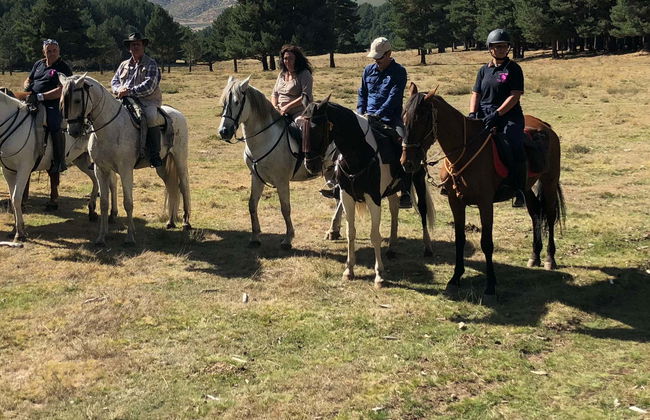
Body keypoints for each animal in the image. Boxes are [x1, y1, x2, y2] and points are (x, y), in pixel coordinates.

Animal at [0, 90, 117, 241]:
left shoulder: (24, 169)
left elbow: (16, 198)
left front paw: (20, 233)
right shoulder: (8, 171)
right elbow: (13, 199)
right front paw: (16, 228)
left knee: (112, 181)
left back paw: (113, 213)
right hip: (82, 159)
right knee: (95, 179)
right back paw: (92, 210)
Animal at [60, 74, 191, 246]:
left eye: (76, 100)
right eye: (62, 101)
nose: (73, 131)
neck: (110, 129)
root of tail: (177, 114)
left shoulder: (125, 170)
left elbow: (128, 203)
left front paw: (130, 237)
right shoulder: (100, 169)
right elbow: (103, 202)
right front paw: (101, 236)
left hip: (180, 159)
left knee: (184, 186)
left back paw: (186, 222)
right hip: (162, 165)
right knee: (171, 186)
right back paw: (170, 222)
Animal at [217, 76, 343, 249]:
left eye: (236, 102)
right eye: (223, 102)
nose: (224, 132)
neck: (265, 139)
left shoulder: (282, 181)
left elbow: (285, 208)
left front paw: (288, 239)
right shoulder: (256, 177)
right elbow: (252, 204)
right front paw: (255, 237)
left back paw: (333, 230)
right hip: (330, 173)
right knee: (338, 199)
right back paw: (334, 231)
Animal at [302, 97, 436, 288]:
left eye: (317, 128)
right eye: (301, 127)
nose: (310, 165)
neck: (359, 154)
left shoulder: (373, 199)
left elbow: (375, 235)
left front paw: (379, 275)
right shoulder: (347, 197)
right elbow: (351, 233)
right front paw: (349, 270)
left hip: (418, 179)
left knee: (423, 210)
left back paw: (428, 247)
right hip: (391, 190)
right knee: (394, 208)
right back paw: (392, 246)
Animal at [401, 83, 565, 303]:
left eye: (421, 119)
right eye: (403, 118)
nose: (407, 163)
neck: (464, 152)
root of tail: (546, 127)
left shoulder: (485, 203)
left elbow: (486, 243)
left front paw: (490, 286)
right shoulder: (455, 202)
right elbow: (460, 239)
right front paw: (455, 278)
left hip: (549, 181)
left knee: (550, 214)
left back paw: (549, 258)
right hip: (527, 188)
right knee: (535, 213)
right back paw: (535, 255)